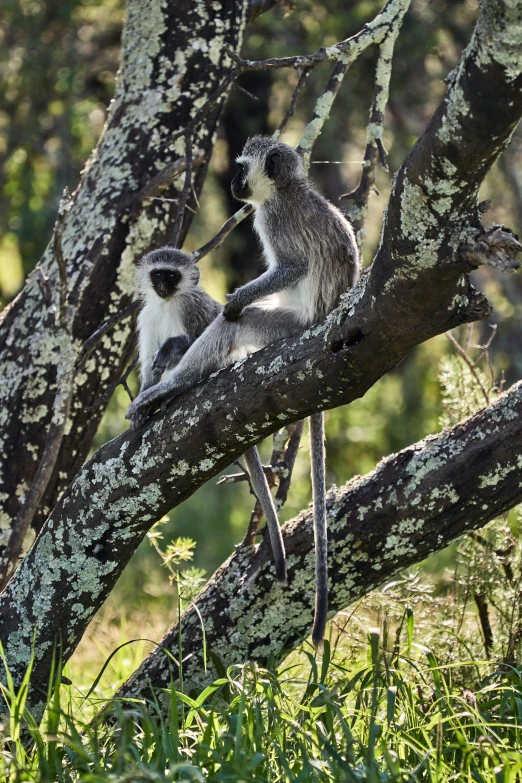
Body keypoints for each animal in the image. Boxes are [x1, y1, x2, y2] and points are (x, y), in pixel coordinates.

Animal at [128, 138, 360, 652]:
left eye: (240, 169)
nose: (234, 184)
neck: (288, 189)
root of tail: (325, 320)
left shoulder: (271, 218)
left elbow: (291, 267)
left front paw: (233, 300)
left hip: (287, 324)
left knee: (233, 323)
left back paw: (173, 385)